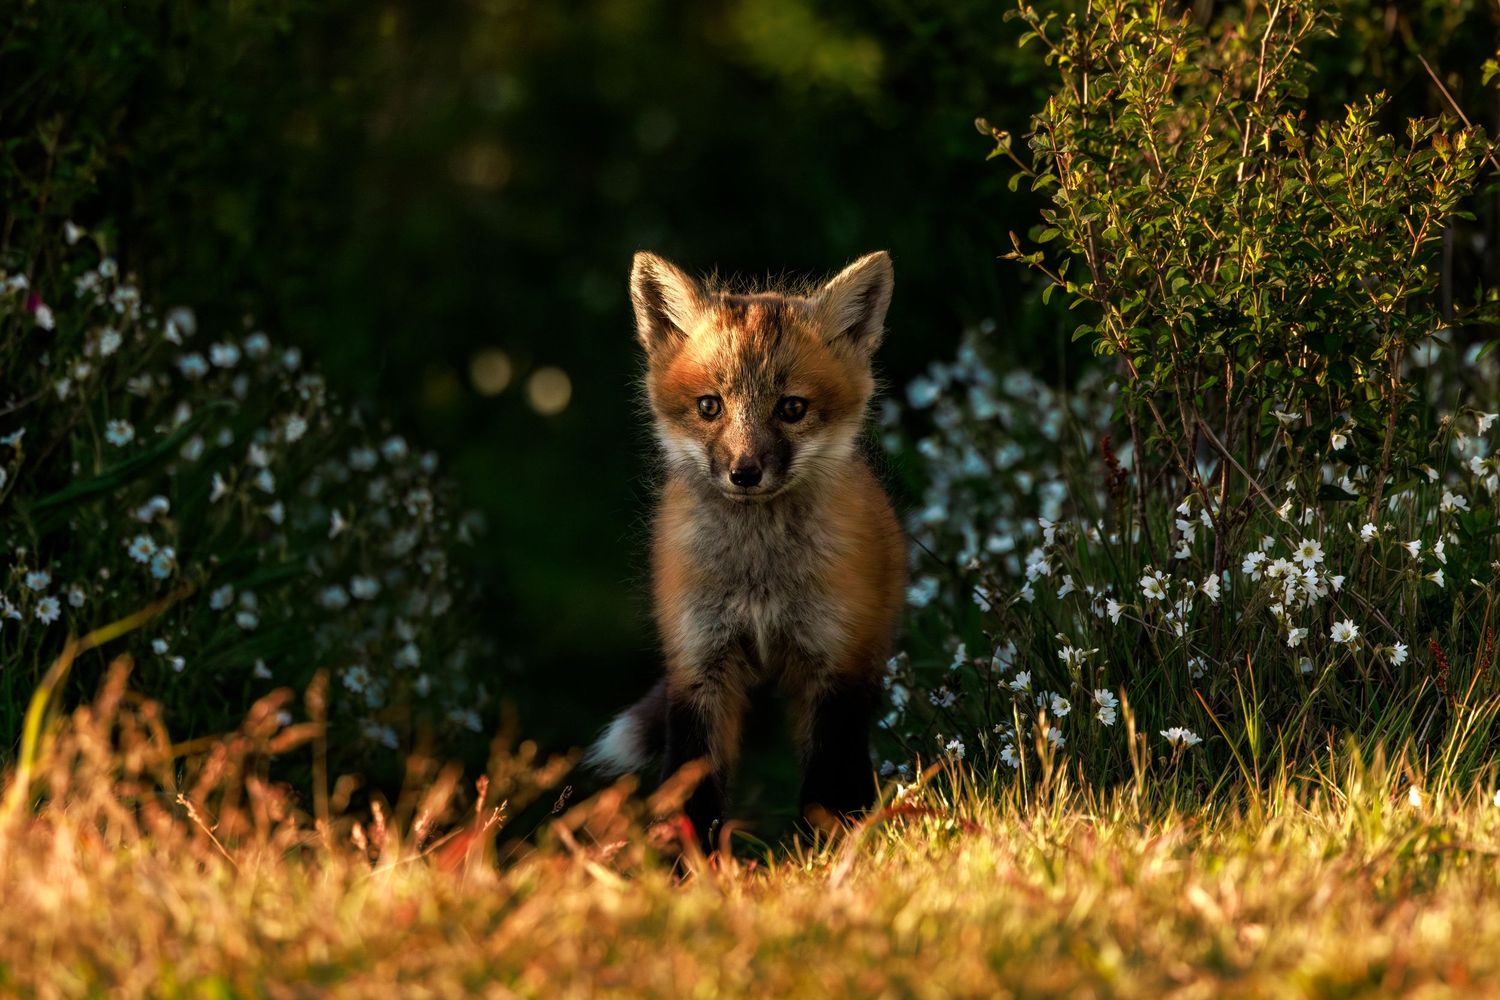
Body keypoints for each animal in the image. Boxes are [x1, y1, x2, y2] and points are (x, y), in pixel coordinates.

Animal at [586, 249, 907, 850]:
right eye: (710, 406)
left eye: (792, 408)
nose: (744, 472)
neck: (760, 578)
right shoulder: (698, 664)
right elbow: (692, 789)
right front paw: (689, 866)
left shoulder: (835, 667)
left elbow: (828, 786)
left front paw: (831, 856)